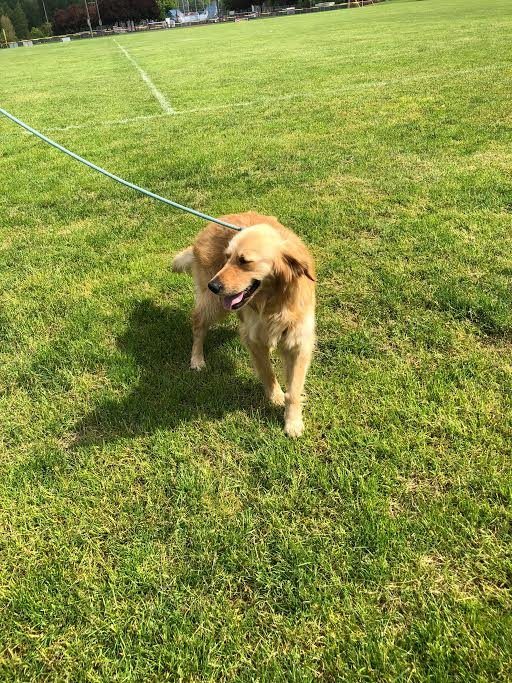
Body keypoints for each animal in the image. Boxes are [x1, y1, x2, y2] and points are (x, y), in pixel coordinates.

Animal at [173, 210, 316, 438]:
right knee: (198, 324)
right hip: (213, 305)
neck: (273, 302)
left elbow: (294, 389)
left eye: (244, 261)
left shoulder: (298, 342)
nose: (213, 286)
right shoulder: (253, 338)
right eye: (227, 257)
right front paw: (275, 397)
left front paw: (293, 422)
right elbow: (267, 371)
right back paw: (197, 358)